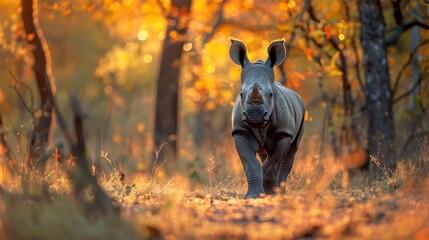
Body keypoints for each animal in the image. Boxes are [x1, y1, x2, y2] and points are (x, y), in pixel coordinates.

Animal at [231, 38, 304, 198]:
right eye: (241, 94)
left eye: (271, 95)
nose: (255, 115)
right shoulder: (239, 132)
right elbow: (251, 165)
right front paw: (253, 196)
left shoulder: (284, 133)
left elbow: (272, 164)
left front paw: (270, 194)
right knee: (264, 154)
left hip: (302, 110)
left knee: (292, 150)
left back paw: (281, 192)